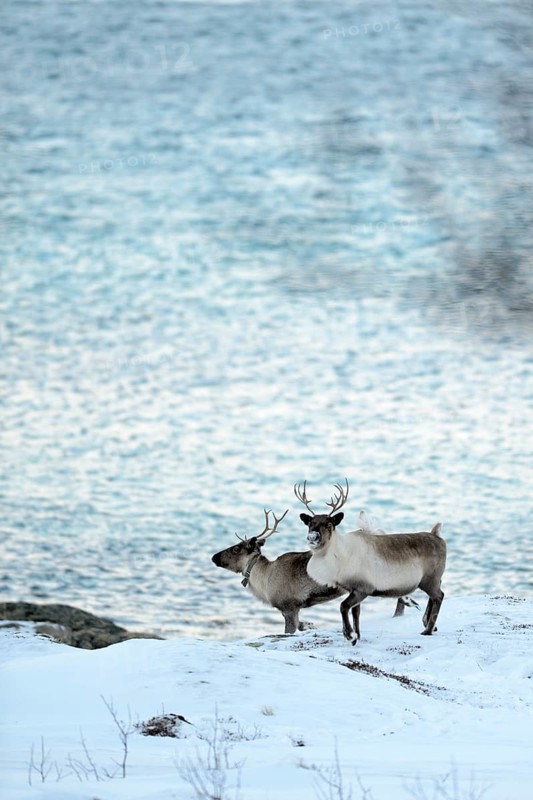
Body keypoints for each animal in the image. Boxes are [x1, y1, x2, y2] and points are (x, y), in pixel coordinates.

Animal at [211, 507, 415, 635]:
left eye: (236, 548)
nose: (214, 557)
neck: (264, 581)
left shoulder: (289, 607)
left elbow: (290, 631)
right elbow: (303, 625)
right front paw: (311, 625)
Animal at [295, 479, 446, 644]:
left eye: (329, 525)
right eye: (310, 523)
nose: (312, 537)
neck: (339, 557)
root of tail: (438, 536)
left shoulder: (363, 588)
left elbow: (343, 607)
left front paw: (350, 635)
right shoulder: (353, 589)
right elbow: (356, 612)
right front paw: (357, 636)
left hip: (429, 578)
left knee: (439, 596)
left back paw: (428, 630)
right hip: (432, 579)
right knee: (435, 595)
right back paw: (428, 624)